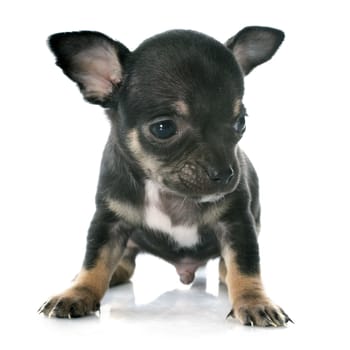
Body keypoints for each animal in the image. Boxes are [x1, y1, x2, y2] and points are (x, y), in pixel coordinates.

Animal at [38, 26, 292, 326]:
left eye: (240, 122)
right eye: (163, 128)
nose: (226, 173)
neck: (168, 194)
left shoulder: (238, 223)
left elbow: (246, 265)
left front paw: (255, 302)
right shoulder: (108, 221)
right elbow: (95, 260)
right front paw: (78, 293)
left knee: (225, 265)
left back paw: (224, 273)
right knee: (125, 261)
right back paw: (112, 272)